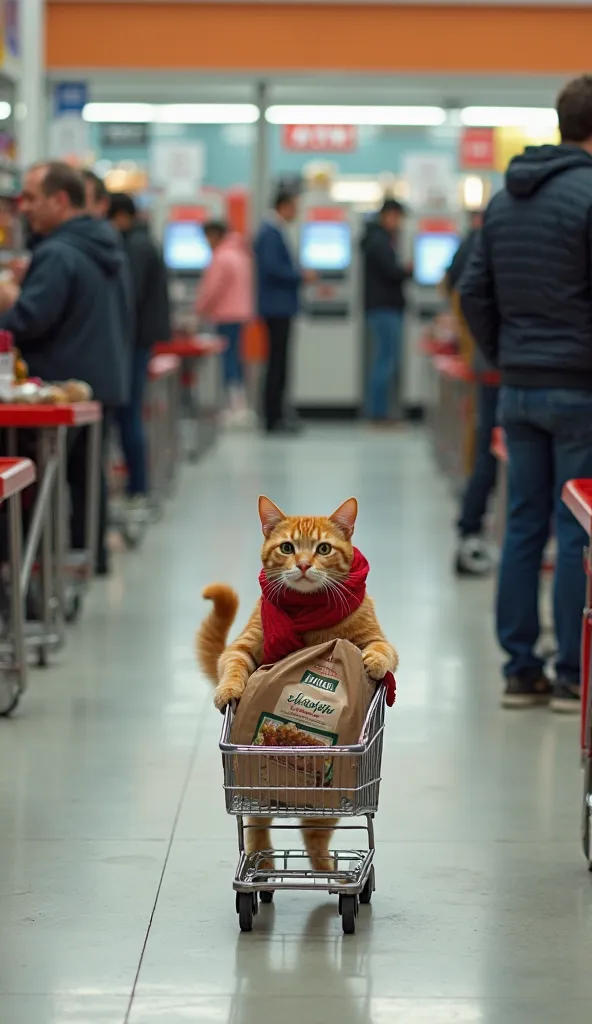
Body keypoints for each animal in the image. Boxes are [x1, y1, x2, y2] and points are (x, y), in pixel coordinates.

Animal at [196, 495, 397, 872]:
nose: (303, 565)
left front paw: (373, 664)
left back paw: (328, 873)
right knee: (258, 824)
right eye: (287, 548)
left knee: (312, 833)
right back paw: (267, 866)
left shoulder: (379, 639)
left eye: (323, 548)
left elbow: (381, 651)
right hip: (257, 794)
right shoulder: (243, 647)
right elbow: (233, 664)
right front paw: (228, 690)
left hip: (325, 805)